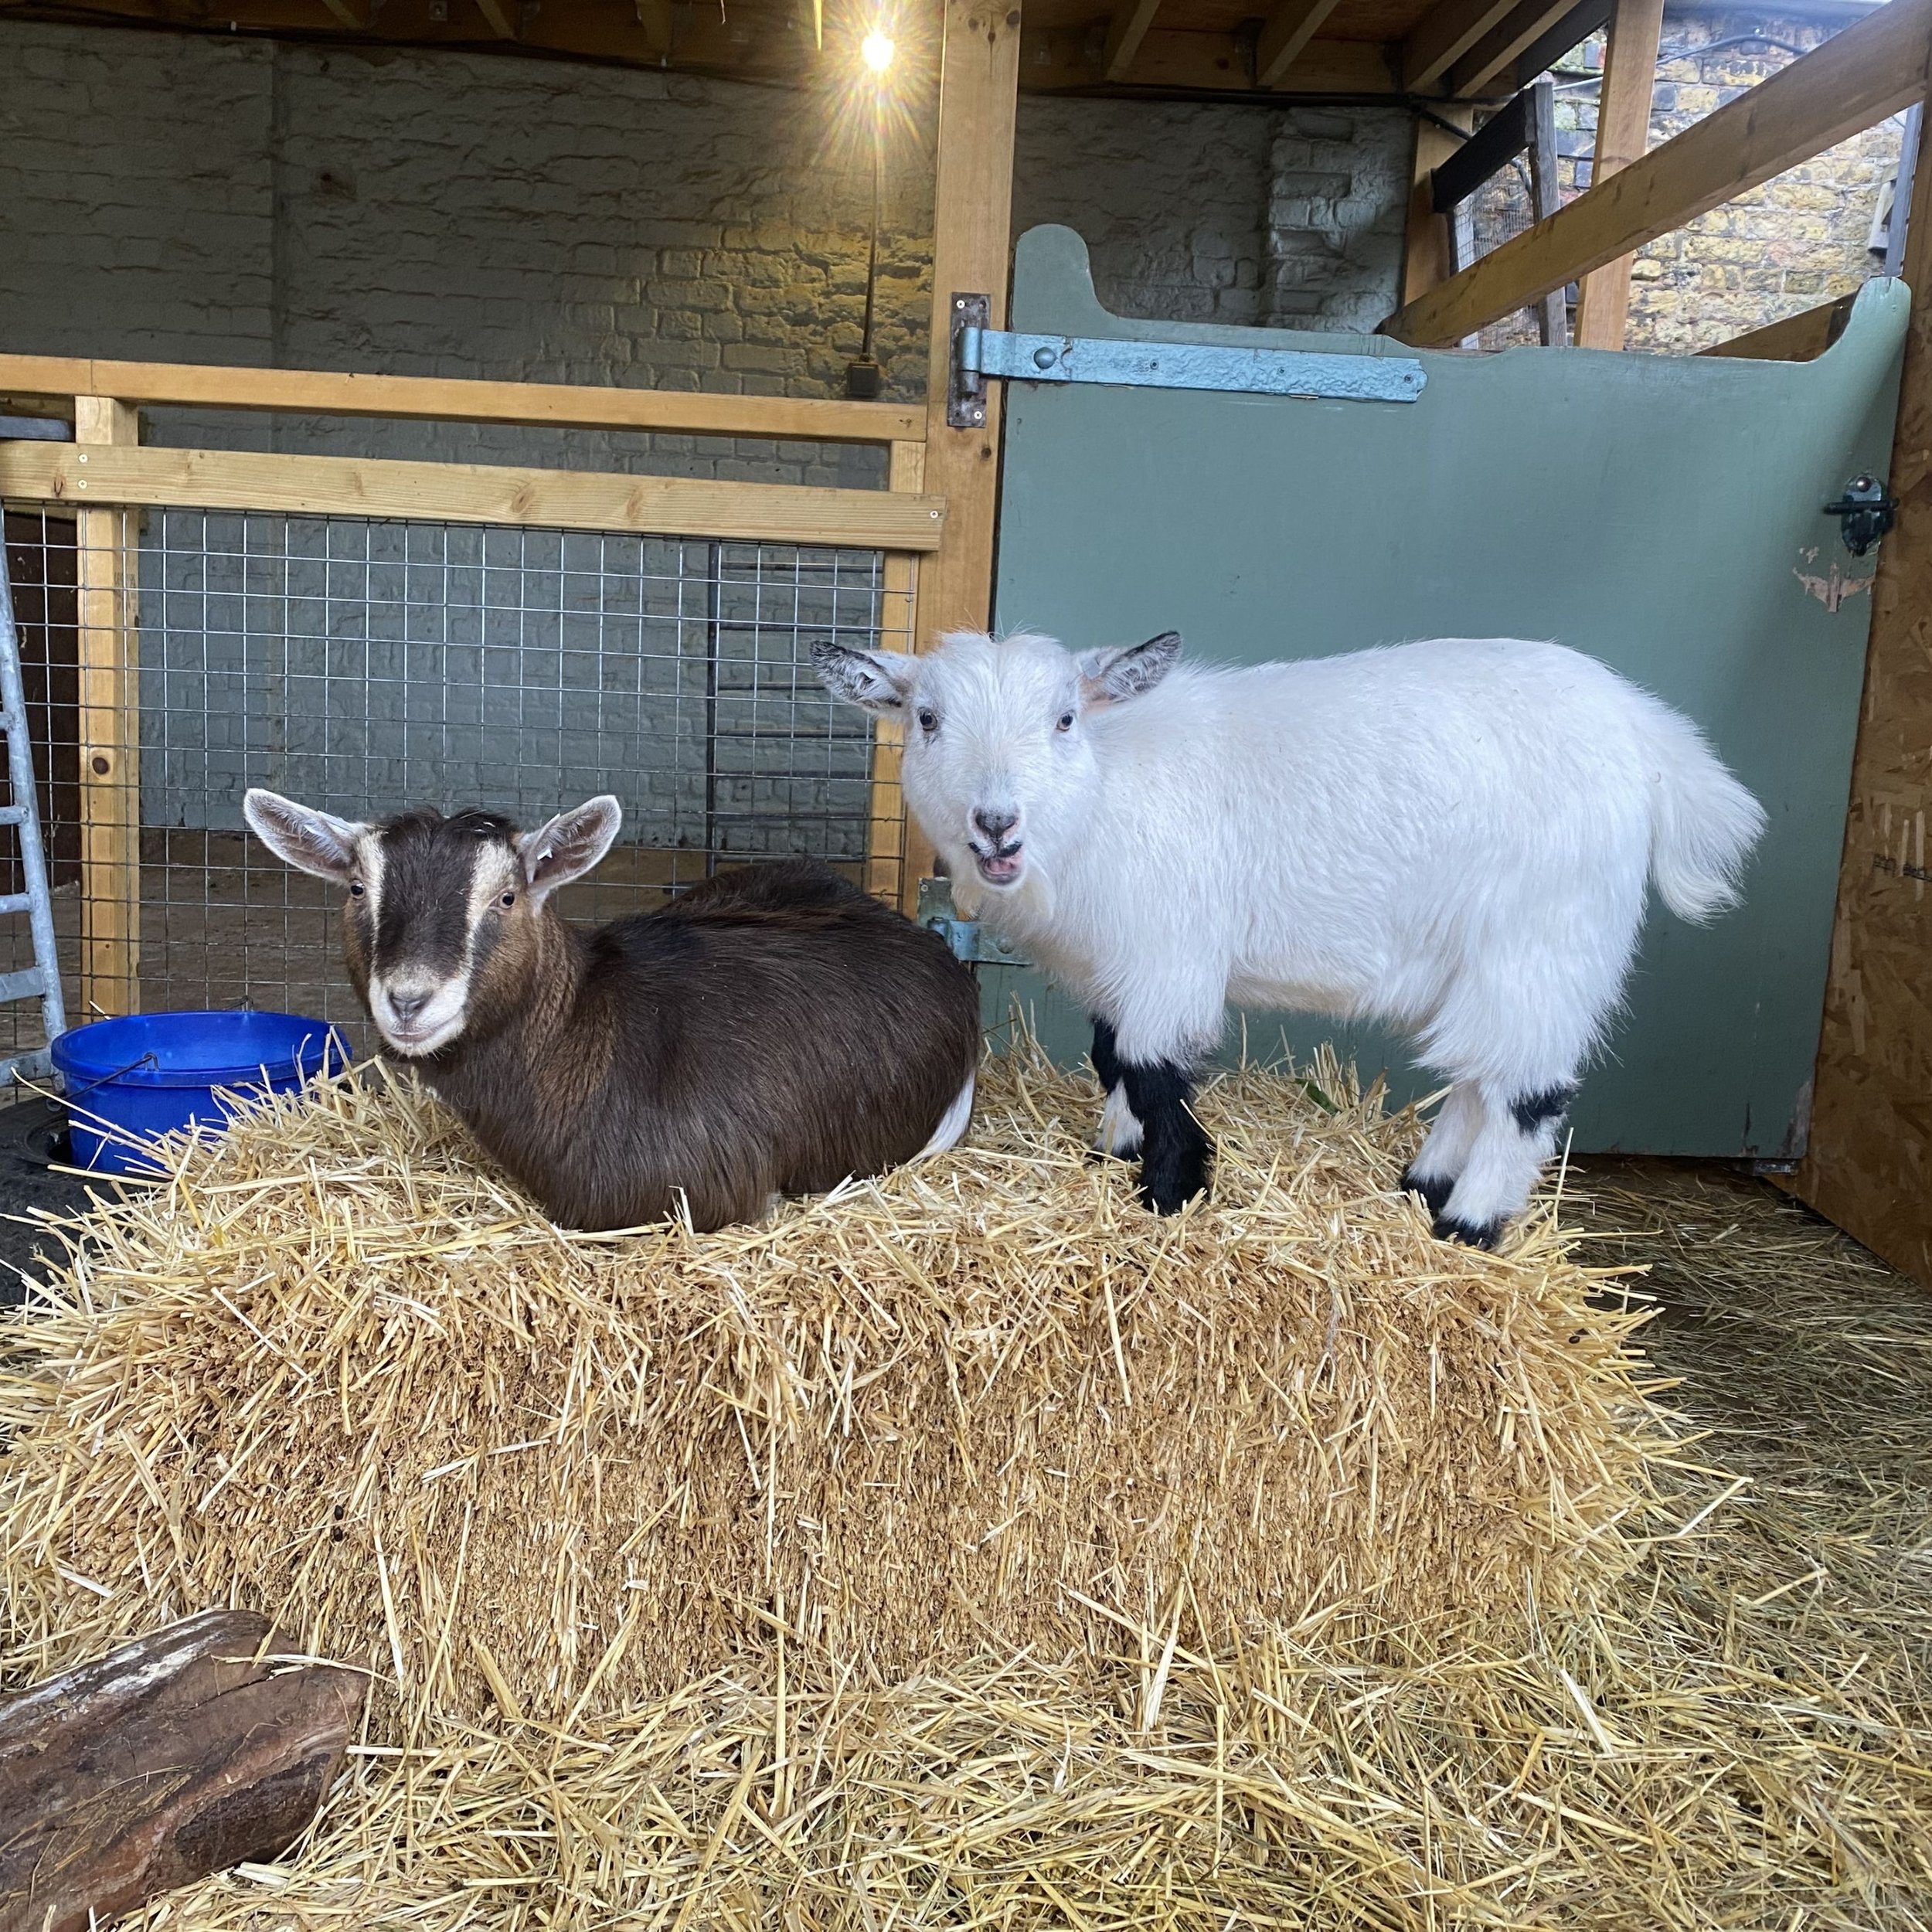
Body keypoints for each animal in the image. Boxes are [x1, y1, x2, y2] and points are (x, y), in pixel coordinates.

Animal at [816, 629, 1765, 1247]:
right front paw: (1111, 1156)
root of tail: (1648, 738)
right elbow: (1112, 1057)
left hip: (1548, 940)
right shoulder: (1119, 965)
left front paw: (1169, 1192)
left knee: (1527, 1093)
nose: (996, 824)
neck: (1107, 795)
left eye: (1064, 719)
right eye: (927, 718)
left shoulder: (1172, 951)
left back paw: (1467, 1222)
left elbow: (1153, 1069)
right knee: (1479, 1074)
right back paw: (1421, 1185)